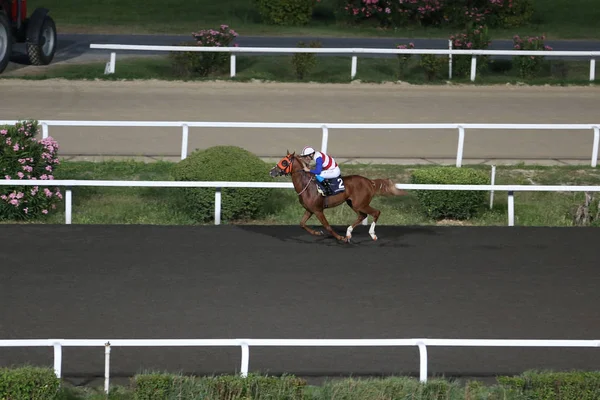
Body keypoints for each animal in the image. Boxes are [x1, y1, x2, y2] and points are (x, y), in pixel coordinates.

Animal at [268, 151, 406, 242]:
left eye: (284, 162)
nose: (271, 171)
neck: (306, 186)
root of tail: (369, 182)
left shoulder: (318, 210)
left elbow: (327, 226)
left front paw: (340, 238)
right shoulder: (309, 209)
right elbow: (302, 224)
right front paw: (317, 232)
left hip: (360, 204)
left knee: (376, 212)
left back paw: (372, 234)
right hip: (353, 203)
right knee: (362, 215)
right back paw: (349, 233)